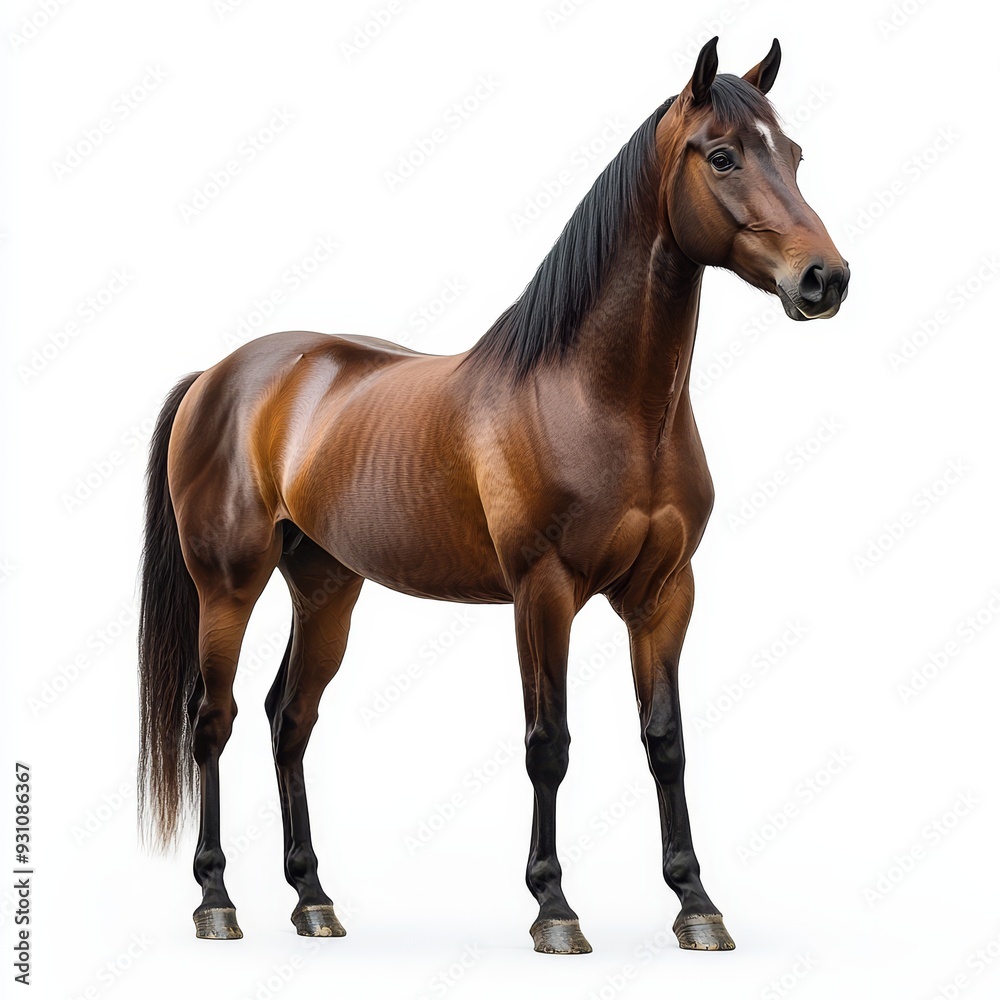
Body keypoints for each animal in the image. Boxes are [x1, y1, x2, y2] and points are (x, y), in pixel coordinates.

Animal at [137, 36, 849, 954]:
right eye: (722, 155)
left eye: (792, 154)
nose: (824, 279)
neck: (600, 400)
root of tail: (218, 375)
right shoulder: (543, 592)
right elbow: (549, 743)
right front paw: (554, 908)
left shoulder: (665, 595)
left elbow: (666, 742)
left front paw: (696, 906)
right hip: (228, 585)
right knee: (212, 719)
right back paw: (216, 900)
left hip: (327, 587)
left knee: (287, 720)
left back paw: (313, 900)